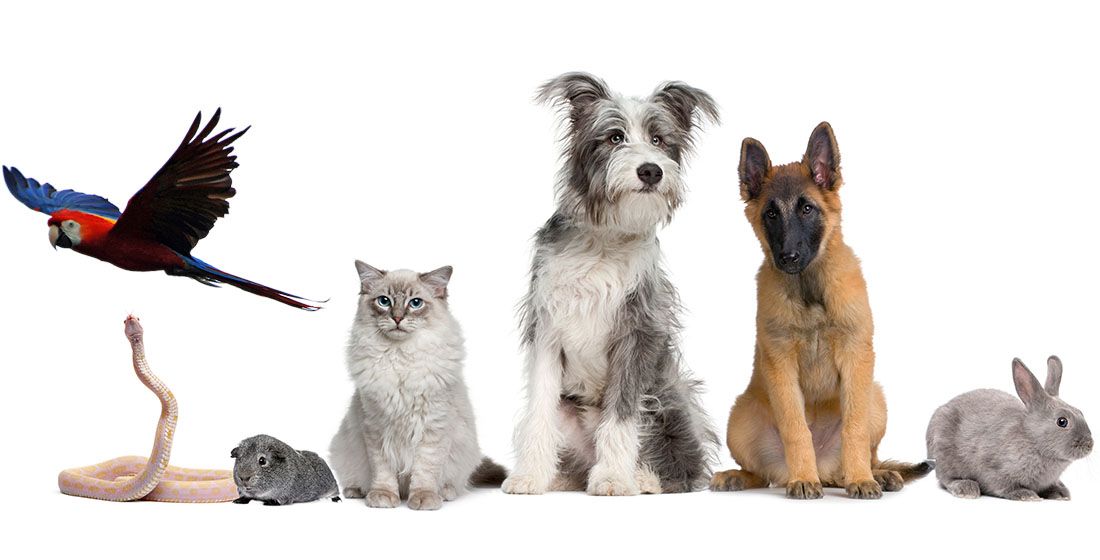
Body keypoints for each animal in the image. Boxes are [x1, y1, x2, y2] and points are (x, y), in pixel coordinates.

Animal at [323, 259, 501, 508]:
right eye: (384, 301)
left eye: (415, 303)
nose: (397, 318)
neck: (400, 357)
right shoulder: (376, 427)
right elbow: (383, 472)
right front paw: (383, 497)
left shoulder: (432, 427)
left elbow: (425, 470)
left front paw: (424, 498)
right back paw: (357, 491)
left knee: (454, 482)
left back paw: (444, 493)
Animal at [501, 70, 721, 492]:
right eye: (615, 137)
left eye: (658, 139)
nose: (651, 170)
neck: (605, 238)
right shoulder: (547, 328)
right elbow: (538, 410)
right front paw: (530, 476)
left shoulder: (636, 333)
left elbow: (620, 413)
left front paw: (615, 478)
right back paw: (561, 477)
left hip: (667, 401)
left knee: (681, 471)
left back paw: (643, 478)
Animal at [708, 122, 932, 497]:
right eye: (771, 213)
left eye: (807, 209)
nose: (788, 258)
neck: (809, 288)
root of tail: (826, 466)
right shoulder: (780, 364)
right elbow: (795, 428)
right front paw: (803, 478)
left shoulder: (856, 358)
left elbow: (854, 428)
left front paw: (861, 479)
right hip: (738, 419)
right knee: (761, 473)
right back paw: (742, 476)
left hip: (876, 398)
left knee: (867, 454)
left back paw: (874, 474)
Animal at [928, 356, 1091, 499]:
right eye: (1062, 421)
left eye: (1080, 412)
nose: (1090, 445)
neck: (1032, 439)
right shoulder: (993, 468)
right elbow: (1003, 486)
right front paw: (1026, 495)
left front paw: (1060, 493)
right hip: (944, 455)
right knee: (946, 478)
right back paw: (966, 488)